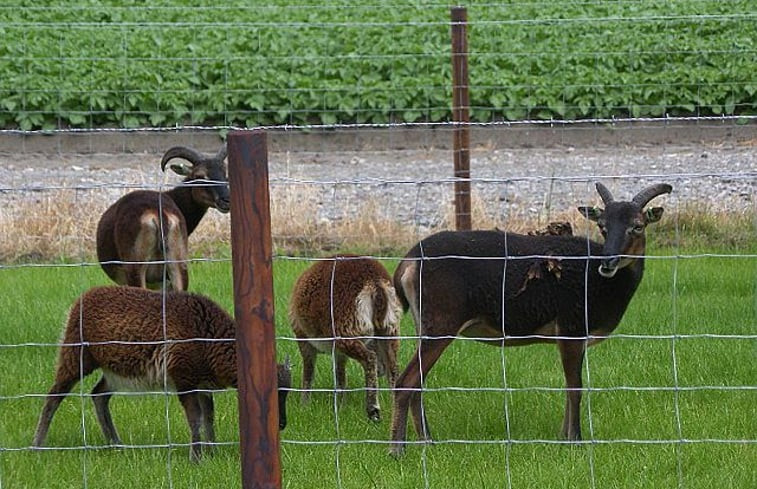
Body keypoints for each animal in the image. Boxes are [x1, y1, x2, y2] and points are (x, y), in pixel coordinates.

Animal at [31, 284, 290, 460]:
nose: (281, 425)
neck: (209, 337)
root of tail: (81, 300)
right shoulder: (183, 378)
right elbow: (195, 417)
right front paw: (196, 457)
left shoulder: (202, 384)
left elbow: (209, 417)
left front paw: (211, 452)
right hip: (76, 355)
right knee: (54, 396)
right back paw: (37, 445)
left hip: (116, 371)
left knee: (99, 395)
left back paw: (116, 443)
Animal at [290, 255, 404, 420]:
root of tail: (375, 282)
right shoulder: (338, 353)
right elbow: (340, 377)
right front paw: (342, 406)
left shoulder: (303, 339)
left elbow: (308, 373)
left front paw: (304, 406)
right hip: (390, 329)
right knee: (393, 368)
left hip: (346, 330)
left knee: (370, 358)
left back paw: (373, 410)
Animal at [390, 182, 672, 454]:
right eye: (602, 227)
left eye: (637, 226)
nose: (608, 262)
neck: (601, 285)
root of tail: (407, 263)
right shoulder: (571, 325)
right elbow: (575, 387)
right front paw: (575, 441)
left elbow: (569, 386)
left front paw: (562, 438)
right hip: (442, 318)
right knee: (406, 381)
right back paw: (398, 449)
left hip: (424, 321)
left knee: (418, 382)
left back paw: (427, 442)